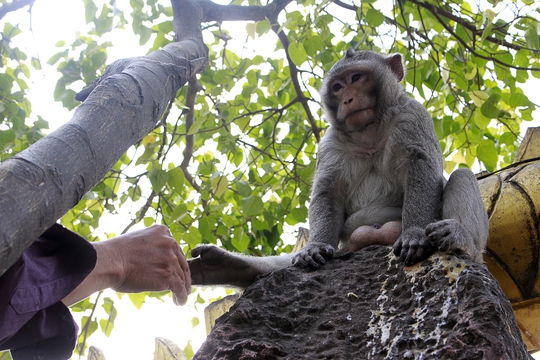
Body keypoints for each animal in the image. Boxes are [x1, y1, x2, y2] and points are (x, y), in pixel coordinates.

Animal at [190, 48, 490, 290]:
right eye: (336, 87)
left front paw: (414, 234)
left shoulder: (413, 116)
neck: (369, 133)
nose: (347, 100)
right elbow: (327, 192)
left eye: (356, 78)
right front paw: (314, 247)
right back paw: (227, 266)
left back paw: (461, 239)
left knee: (462, 176)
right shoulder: (331, 143)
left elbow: (422, 168)